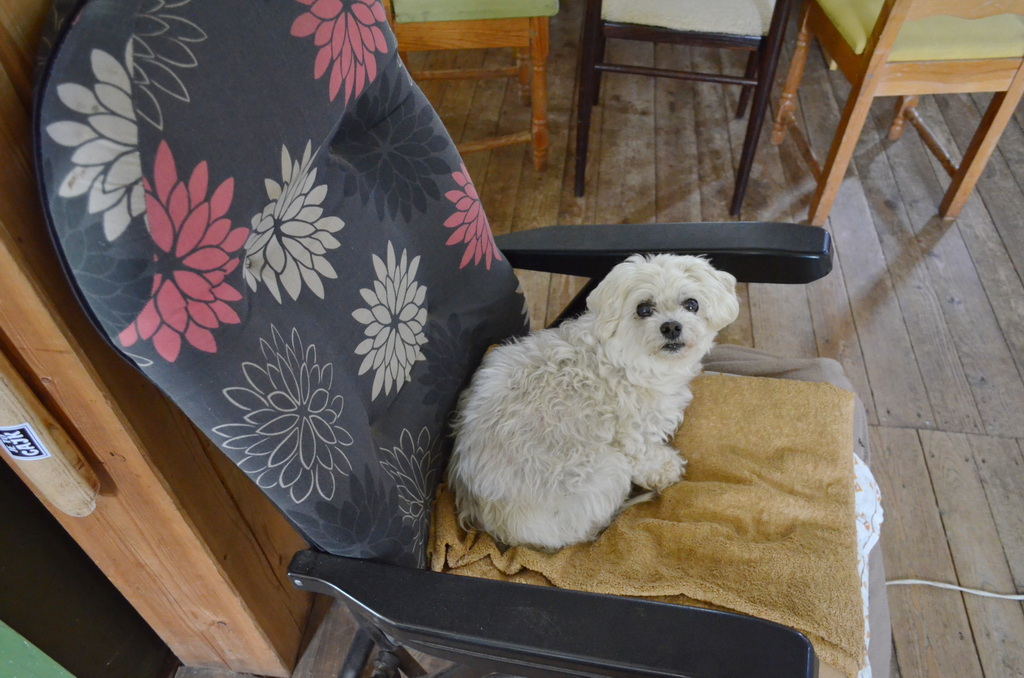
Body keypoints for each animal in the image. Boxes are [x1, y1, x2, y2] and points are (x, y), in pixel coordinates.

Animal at [448, 254, 740, 551]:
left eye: (692, 304)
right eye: (643, 309)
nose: (671, 327)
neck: (631, 359)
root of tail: (498, 529)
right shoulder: (633, 431)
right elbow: (646, 456)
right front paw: (667, 469)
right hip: (609, 468)